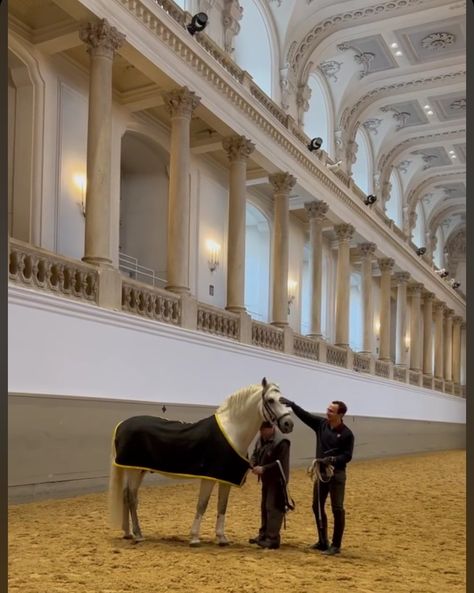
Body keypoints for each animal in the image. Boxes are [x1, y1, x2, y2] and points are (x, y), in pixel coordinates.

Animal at [109, 380, 292, 544]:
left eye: (283, 399)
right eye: (271, 400)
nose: (289, 424)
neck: (232, 431)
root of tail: (122, 424)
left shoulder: (224, 480)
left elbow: (222, 506)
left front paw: (221, 538)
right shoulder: (209, 478)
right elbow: (202, 505)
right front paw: (195, 537)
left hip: (138, 469)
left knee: (126, 495)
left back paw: (128, 533)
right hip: (133, 470)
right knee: (132, 497)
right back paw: (138, 534)